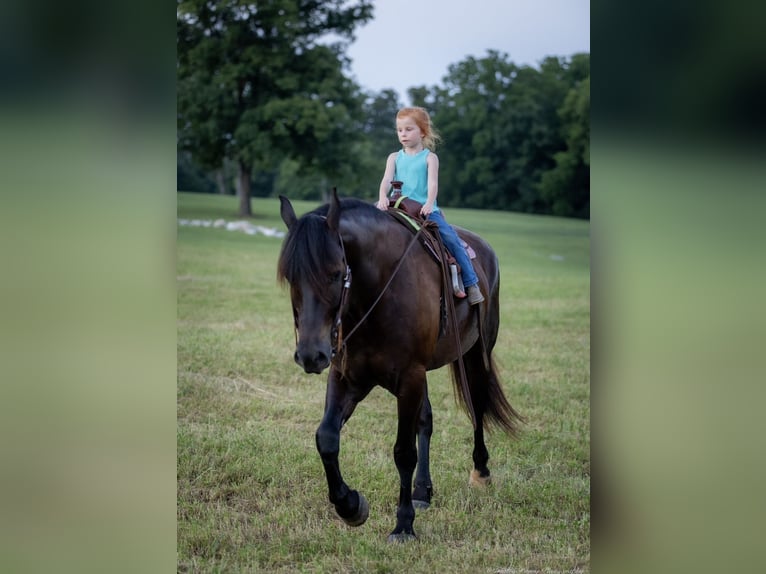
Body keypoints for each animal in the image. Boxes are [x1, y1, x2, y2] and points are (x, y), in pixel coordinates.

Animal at [276, 191, 520, 544]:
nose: (311, 354)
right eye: (290, 277)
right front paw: (350, 505)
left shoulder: (410, 378)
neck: (378, 292)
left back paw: (481, 472)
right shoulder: (347, 376)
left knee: (477, 406)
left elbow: (403, 452)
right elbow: (327, 438)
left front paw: (403, 525)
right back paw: (421, 491)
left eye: (336, 273)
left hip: (476, 353)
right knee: (427, 420)